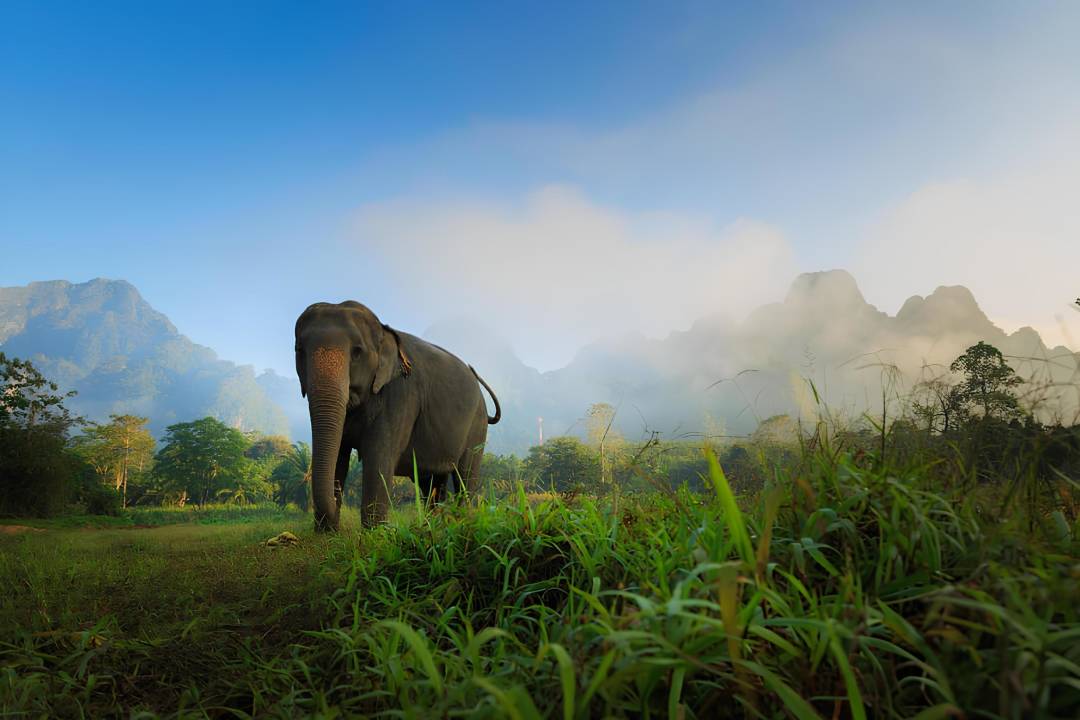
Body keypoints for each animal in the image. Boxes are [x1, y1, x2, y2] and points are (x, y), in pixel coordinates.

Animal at [294, 301, 501, 531]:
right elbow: (339, 454)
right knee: (432, 483)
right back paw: (433, 527)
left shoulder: (401, 397)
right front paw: (326, 533)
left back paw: (460, 523)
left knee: (465, 477)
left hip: (477, 427)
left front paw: (374, 534)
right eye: (299, 350)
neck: (382, 330)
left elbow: (378, 456)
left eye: (357, 352)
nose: (334, 523)